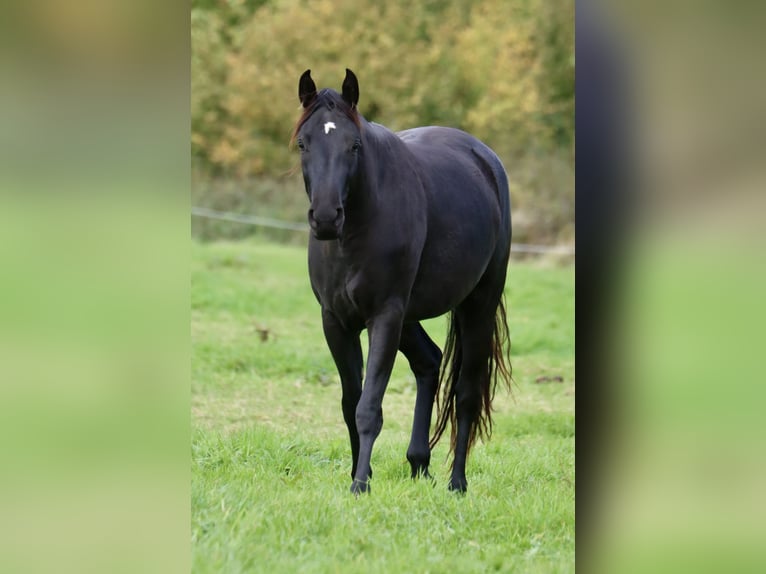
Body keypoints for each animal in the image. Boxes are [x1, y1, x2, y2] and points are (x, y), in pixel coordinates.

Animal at [294, 71, 516, 496]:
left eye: (354, 145)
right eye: (302, 143)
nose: (327, 217)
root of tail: (485, 158)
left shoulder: (384, 316)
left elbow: (369, 407)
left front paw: (360, 485)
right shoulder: (336, 321)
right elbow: (351, 402)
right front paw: (357, 474)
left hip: (476, 304)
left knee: (466, 393)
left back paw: (457, 483)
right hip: (409, 317)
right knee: (429, 362)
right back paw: (418, 463)